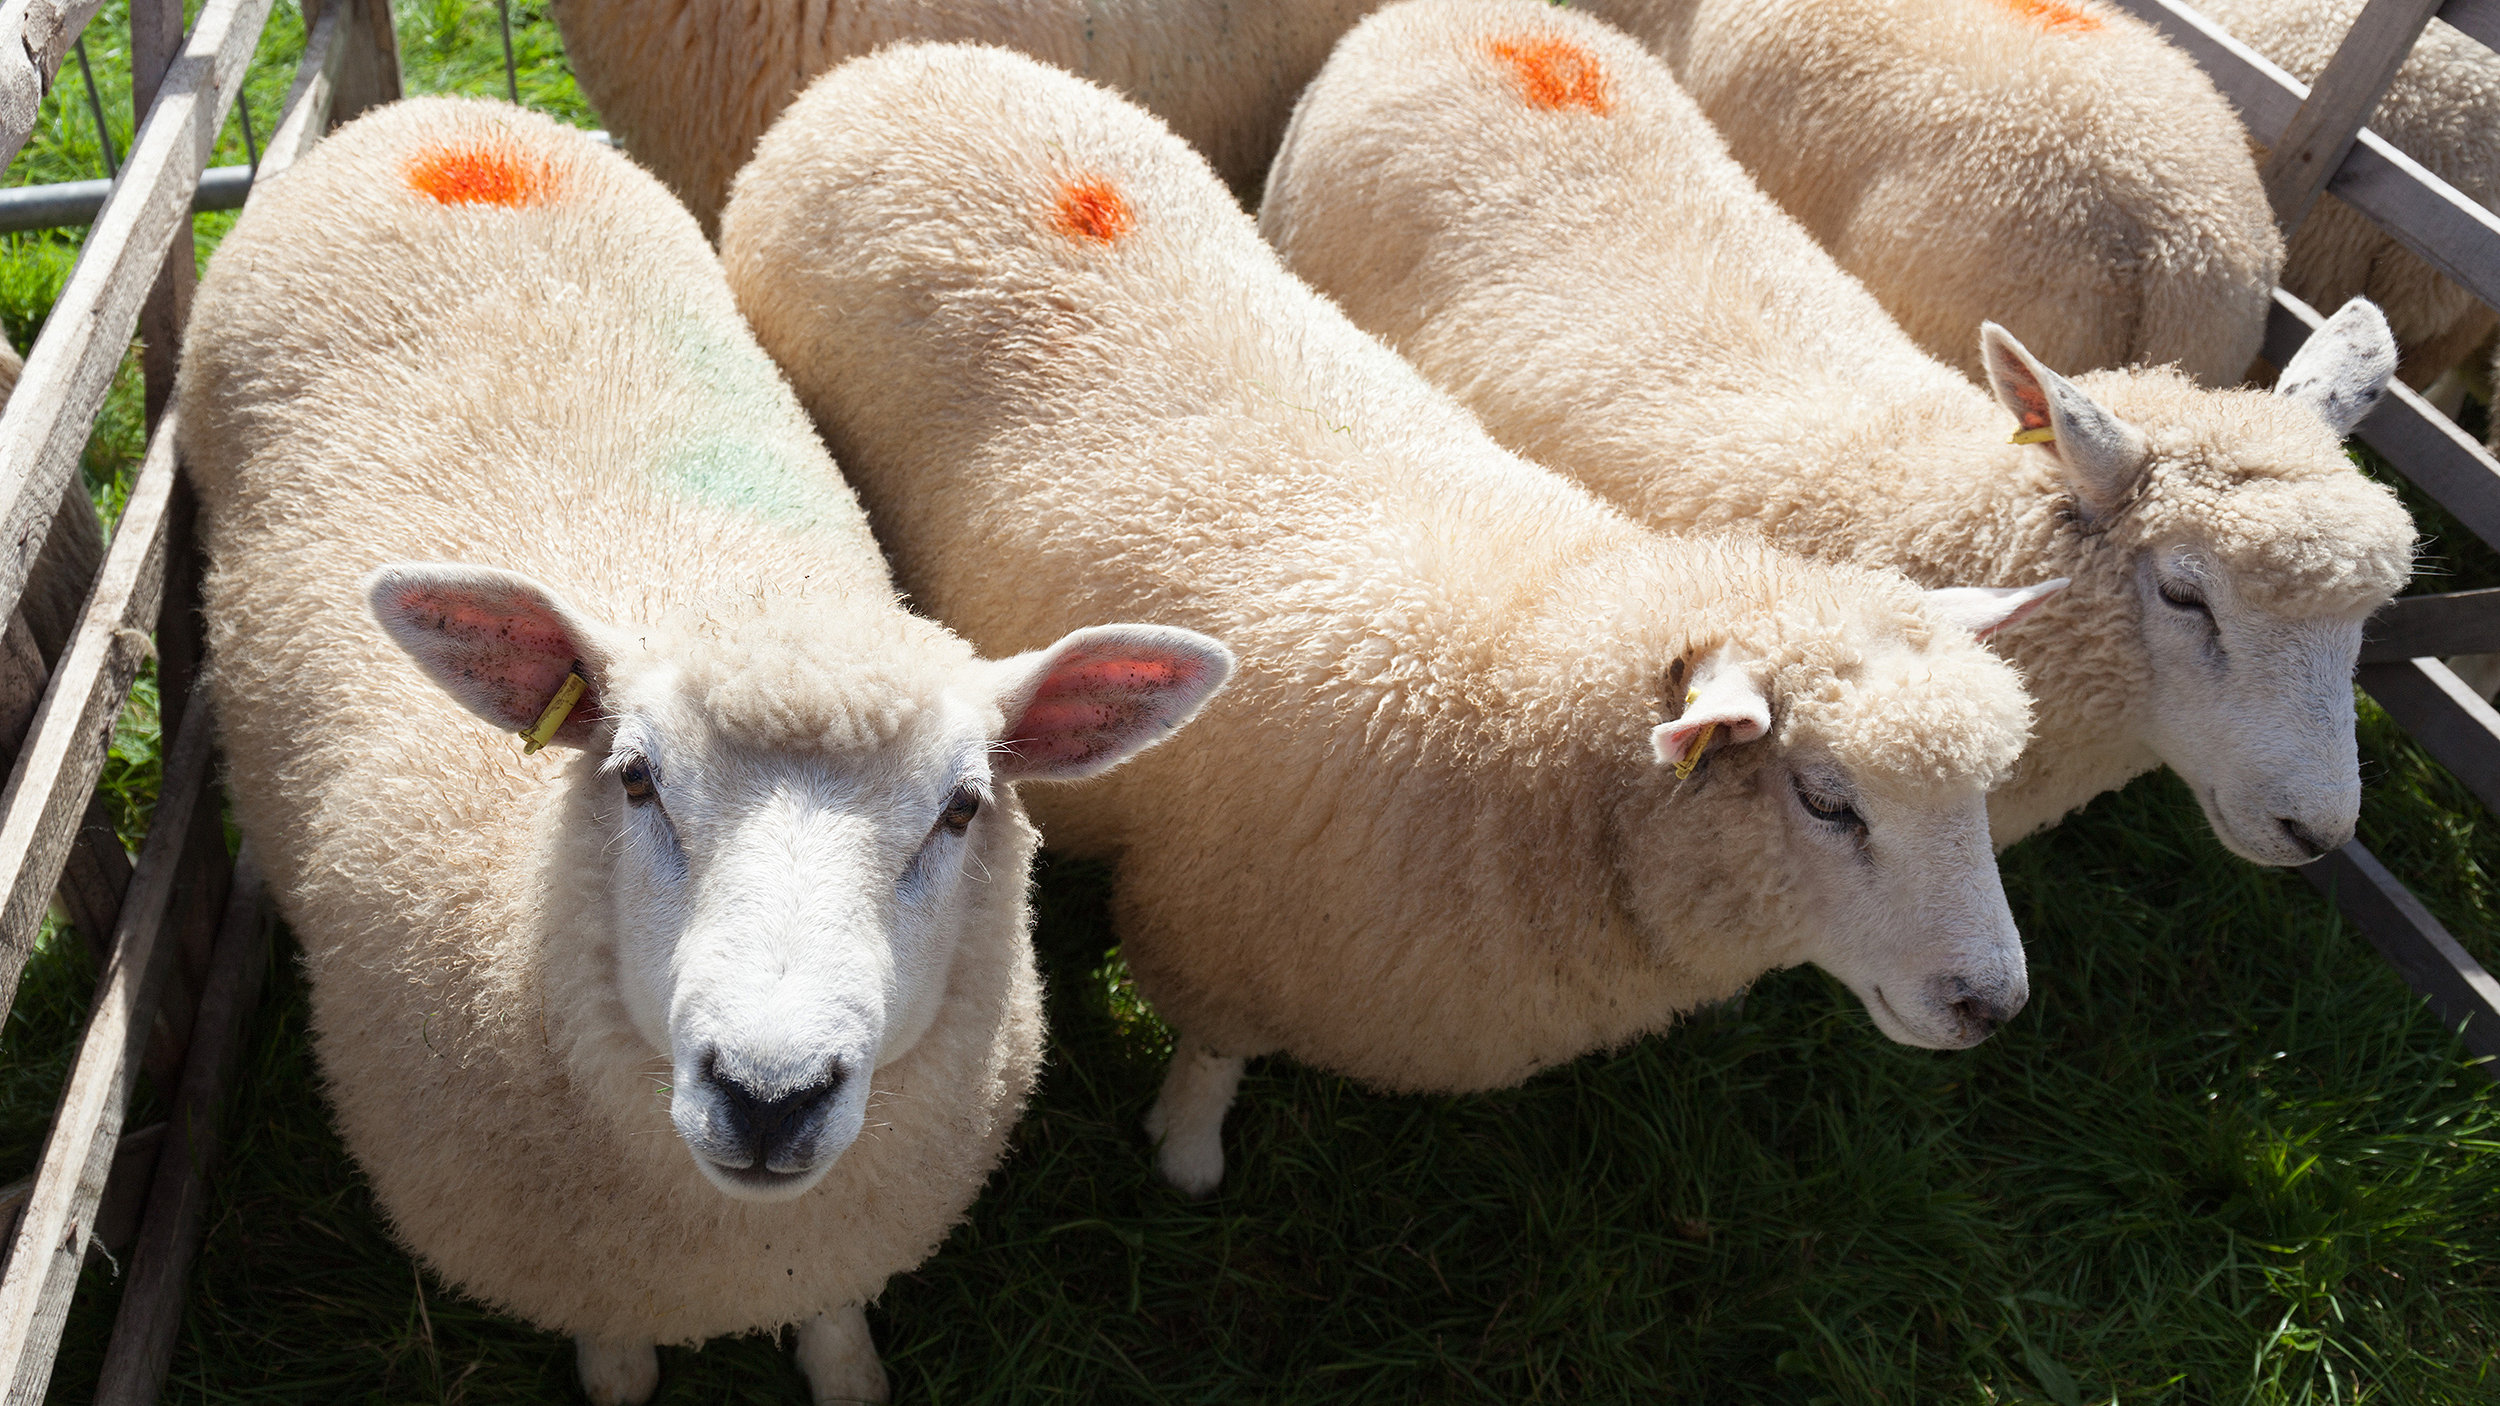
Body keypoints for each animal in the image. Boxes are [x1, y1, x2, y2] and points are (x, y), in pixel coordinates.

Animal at [176, 98, 1230, 1400]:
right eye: (636, 779)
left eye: (962, 808)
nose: (770, 1095)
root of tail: (436, 118)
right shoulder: (590, 1270)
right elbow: (619, 1370)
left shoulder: (830, 1240)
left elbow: (840, 1347)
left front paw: (848, 1369)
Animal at [715, 49, 2060, 1200]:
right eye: (1828, 801)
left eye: (1982, 791)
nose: (1990, 1005)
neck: (1515, 682)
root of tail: (891, 64)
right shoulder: (1225, 930)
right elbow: (1210, 1055)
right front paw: (1187, 1156)